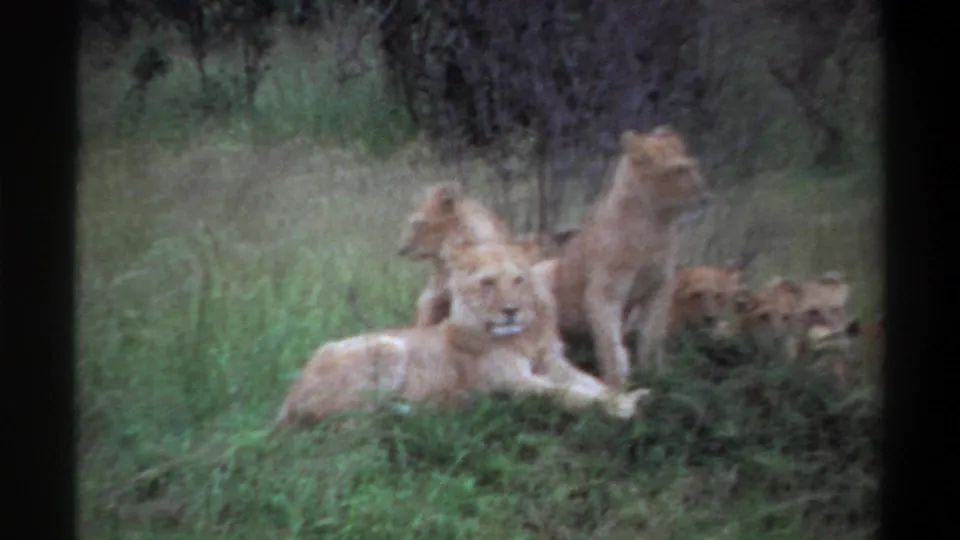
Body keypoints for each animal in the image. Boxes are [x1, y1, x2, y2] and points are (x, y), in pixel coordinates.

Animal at [275, 241, 651, 430]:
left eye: (519, 280)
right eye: (488, 283)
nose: (511, 310)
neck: (523, 336)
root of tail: (287, 399)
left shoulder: (553, 364)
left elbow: (592, 384)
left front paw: (629, 396)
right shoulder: (512, 383)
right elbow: (567, 394)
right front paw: (622, 408)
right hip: (388, 346)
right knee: (353, 420)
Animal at [544, 126, 712, 389]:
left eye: (693, 166)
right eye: (680, 170)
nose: (706, 197)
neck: (655, 226)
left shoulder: (661, 285)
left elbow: (652, 335)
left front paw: (657, 376)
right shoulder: (605, 291)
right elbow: (611, 345)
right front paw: (617, 386)